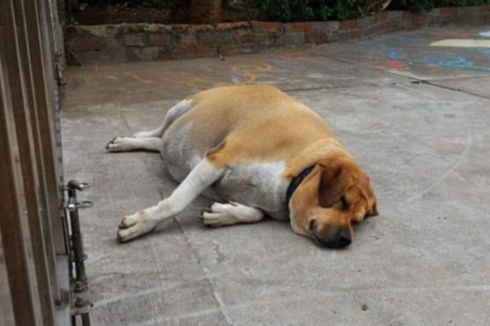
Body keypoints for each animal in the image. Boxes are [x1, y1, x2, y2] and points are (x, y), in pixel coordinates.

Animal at [105, 85, 378, 248]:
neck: (301, 166)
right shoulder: (216, 160)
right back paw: (129, 140)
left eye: (356, 221)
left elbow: (256, 214)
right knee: (158, 132)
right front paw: (141, 224)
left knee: (160, 142)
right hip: (182, 107)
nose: (345, 239)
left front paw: (224, 213)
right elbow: (175, 203)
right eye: (342, 201)